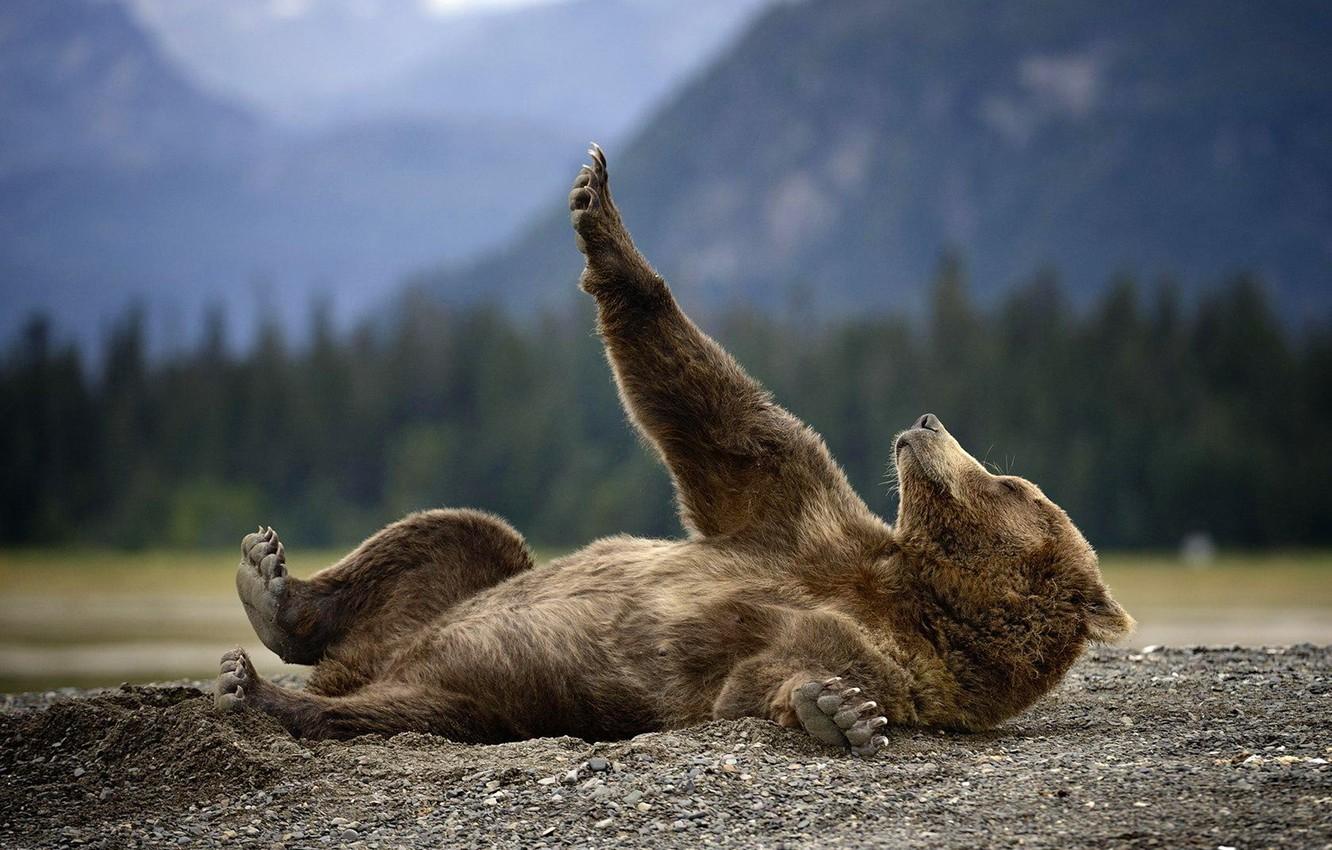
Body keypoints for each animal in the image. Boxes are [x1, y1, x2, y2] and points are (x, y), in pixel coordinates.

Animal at [215, 144, 1134, 755]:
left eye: (1014, 485)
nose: (930, 422)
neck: (912, 590)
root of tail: (367, 664)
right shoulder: (798, 514)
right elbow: (718, 416)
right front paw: (597, 205)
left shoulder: (894, 658)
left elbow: (768, 676)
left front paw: (836, 709)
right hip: (453, 599)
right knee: (463, 536)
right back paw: (271, 586)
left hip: (491, 696)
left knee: (405, 710)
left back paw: (264, 693)